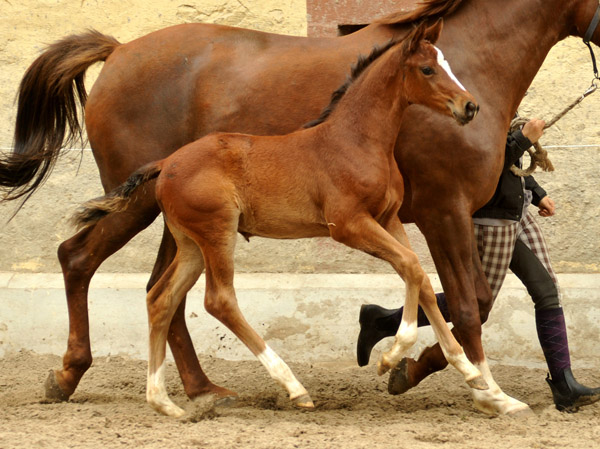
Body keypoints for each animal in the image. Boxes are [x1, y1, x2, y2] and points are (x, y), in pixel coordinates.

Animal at [74, 19, 482, 414]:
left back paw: (163, 401)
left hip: (190, 243)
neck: (356, 140)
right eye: (427, 68)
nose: (470, 106)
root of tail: (166, 163)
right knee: (218, 300)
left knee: (161, 297)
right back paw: (294, 387)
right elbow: (412, 266)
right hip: (217, 232)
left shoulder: (388, 219)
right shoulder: (348, 225)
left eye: (447, 63)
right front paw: (393, 355)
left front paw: (474, 376)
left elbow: (419, 275)